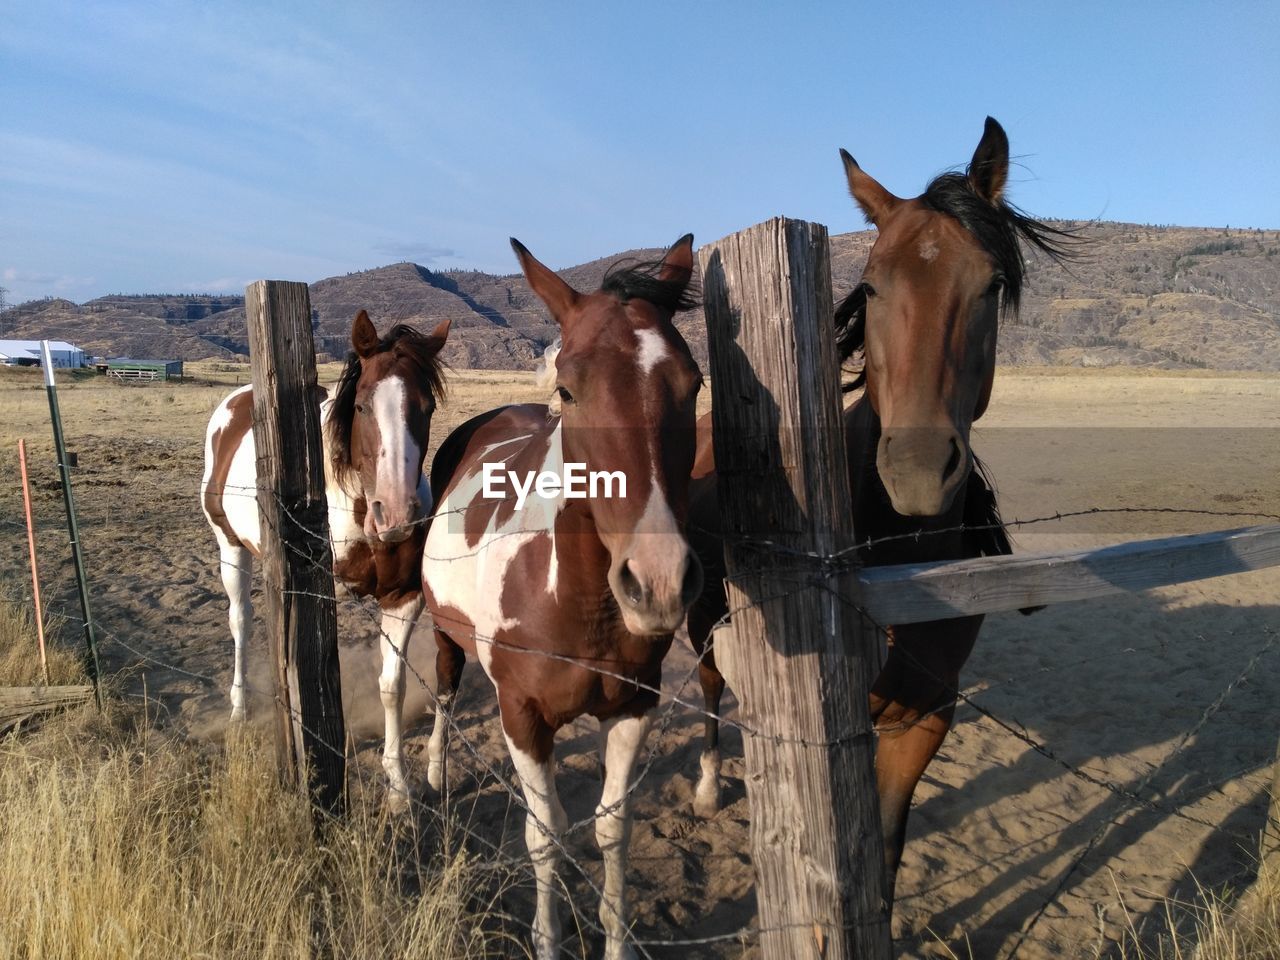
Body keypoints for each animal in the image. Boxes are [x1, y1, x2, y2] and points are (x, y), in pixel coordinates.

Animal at [202, 309, 453, 814]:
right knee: (241, 621)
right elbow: (316, 677)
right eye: (361, 407)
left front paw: (398, 786)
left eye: (427, 409)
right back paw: (239, 707)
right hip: (229, 546)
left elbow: (391, 686)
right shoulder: (317, 595)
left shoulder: (403, 598)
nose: (396, 515)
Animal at [419, 235, 701, 960]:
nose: (658, 581)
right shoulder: (521, 715)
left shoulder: (634, 707)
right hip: (442, 633)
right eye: (568, 389)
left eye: (693, 384)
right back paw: (431, 774)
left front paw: (617, 937)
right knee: (443, 691)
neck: (578, 604)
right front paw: (548, 939)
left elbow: (610, 828)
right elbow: (543, 836)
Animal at [686, 116, 1075, 906]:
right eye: (868, 285)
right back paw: (709, 788)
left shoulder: (923, 716)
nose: (917, 470)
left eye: (991, 285)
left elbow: (886, 856)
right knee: (710, 694)